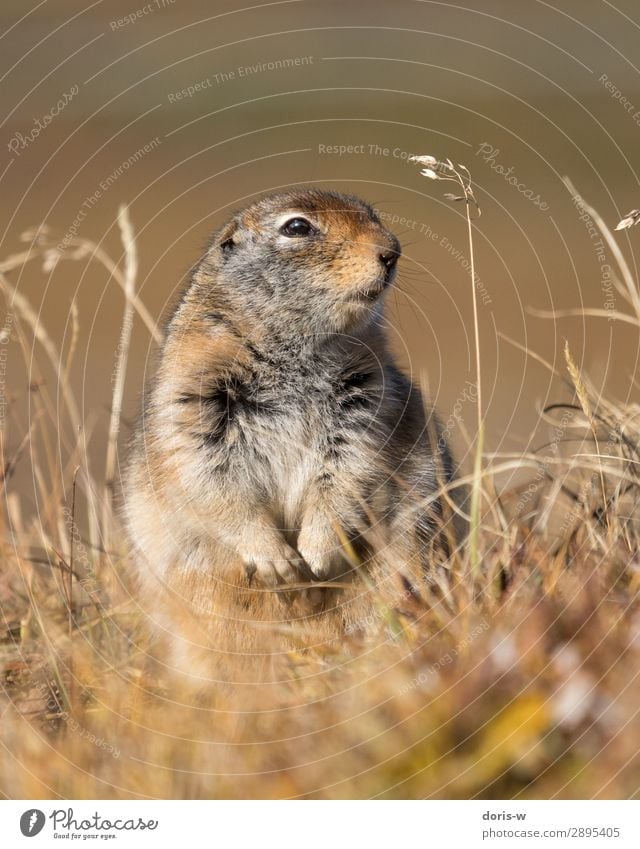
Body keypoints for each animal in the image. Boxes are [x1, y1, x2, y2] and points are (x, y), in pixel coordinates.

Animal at [121, 189, 460, 680]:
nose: (392, 251)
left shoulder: (365, 405)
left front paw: (316, 556)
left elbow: (346, 474)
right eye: (297, 227)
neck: (295, 351)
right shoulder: (194, 408)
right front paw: (279, 562)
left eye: (373, 216)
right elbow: (216, 482)